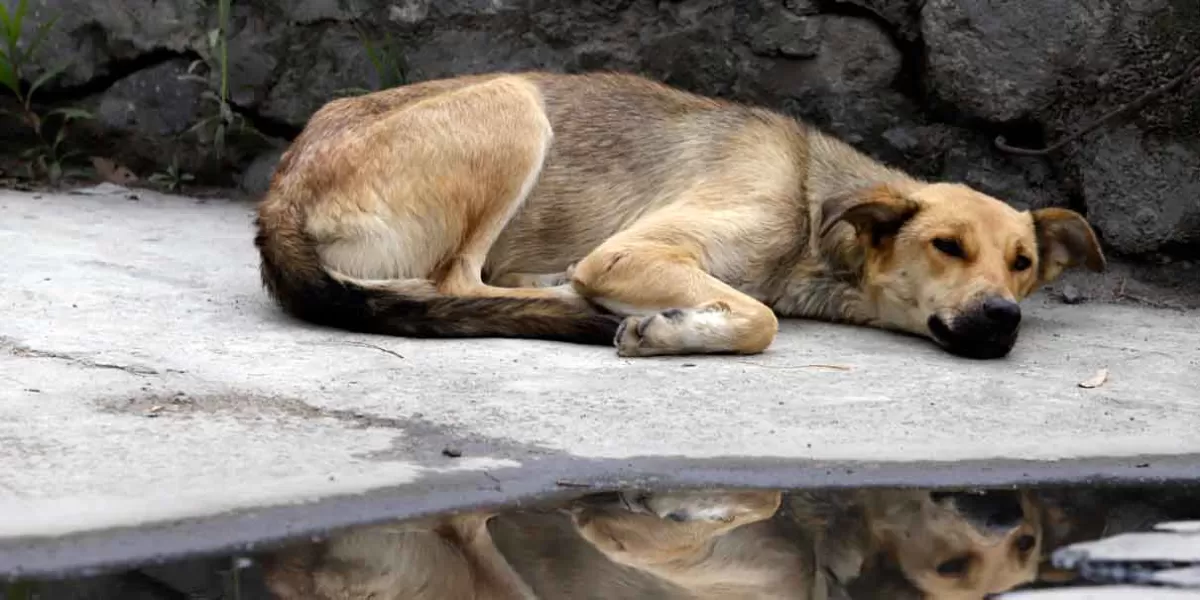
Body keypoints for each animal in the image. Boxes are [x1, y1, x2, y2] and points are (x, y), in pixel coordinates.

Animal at [253, 70, 1104, 360]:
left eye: (1022, 265)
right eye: (945, 246)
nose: (1001, 317)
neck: (810, 204)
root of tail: (279, 192)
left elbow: (756, 309)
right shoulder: (629, 253)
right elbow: (760, 318)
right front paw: (668, 331)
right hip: (513, 104)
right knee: (457, 281)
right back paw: (562, 295)